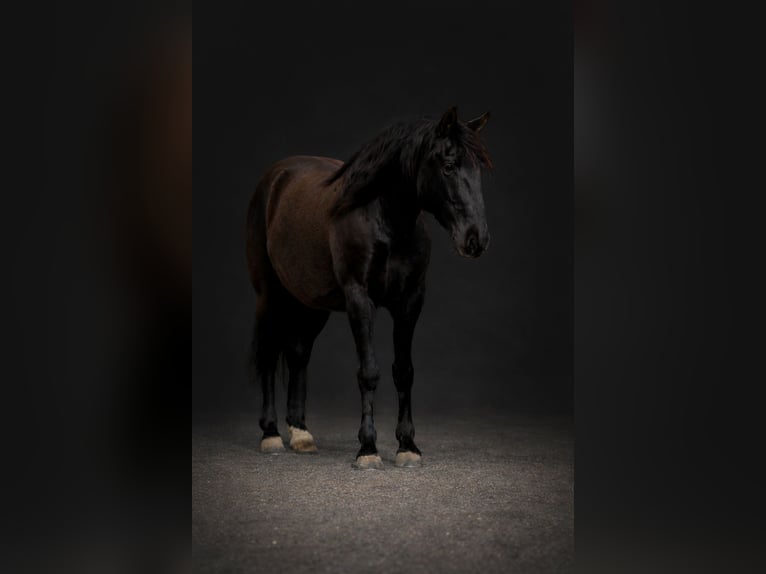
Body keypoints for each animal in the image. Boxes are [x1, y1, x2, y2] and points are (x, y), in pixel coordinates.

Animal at [246, 106, 492, 468]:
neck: (385, 220)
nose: (476, 239)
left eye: (478, 169)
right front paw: (368, 449)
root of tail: (275, 178)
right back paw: (271, 435)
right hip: (269, 296)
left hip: (311, 303)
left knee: (298, 353)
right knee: (267, 353)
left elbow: (404, 371)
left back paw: (301, 434)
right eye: (449, 166)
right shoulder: (359, 300)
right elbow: (369, 372)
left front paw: (407, 446)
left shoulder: (410, 302)